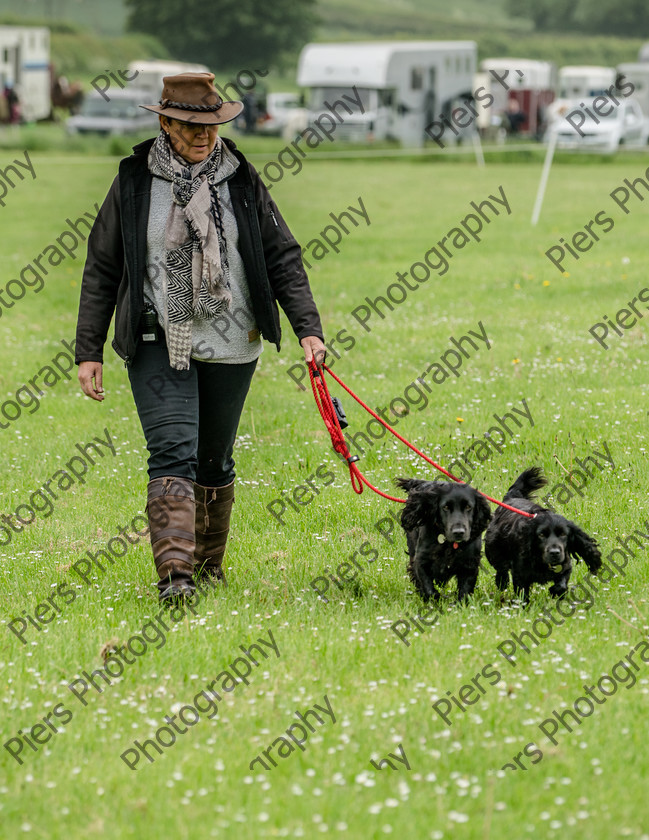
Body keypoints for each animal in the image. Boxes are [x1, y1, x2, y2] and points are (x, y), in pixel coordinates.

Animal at [484, 470, 600, 600]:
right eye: (541, 535)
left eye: (563, 534)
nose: (554, 553)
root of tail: (511, 498)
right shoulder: (520, 573)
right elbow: (522, 593)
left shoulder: (565, 566)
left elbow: (562, 584)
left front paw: (555, 592)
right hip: (493, 549)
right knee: (501, 569)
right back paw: (502, 583)